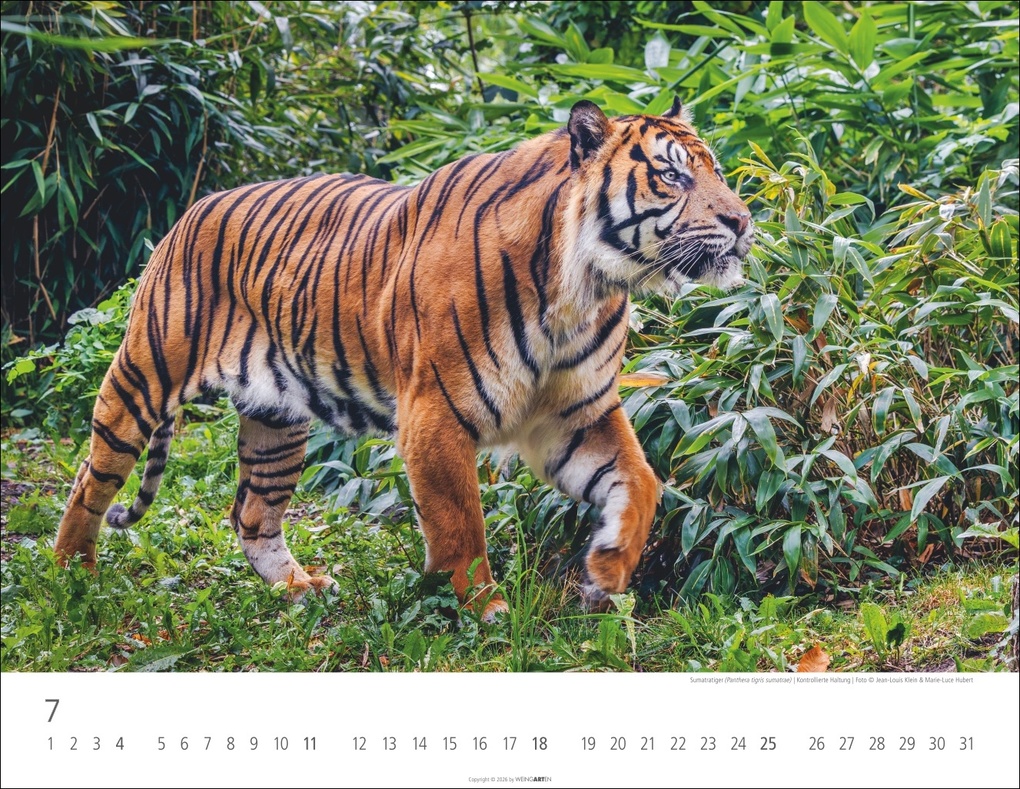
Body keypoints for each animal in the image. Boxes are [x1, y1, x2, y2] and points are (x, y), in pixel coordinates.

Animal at [54, 97, 754, 620]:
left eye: (715, 170)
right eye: (671, 175)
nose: (744, 221)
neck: (585, 286)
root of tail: (191, 210)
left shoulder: (575, 415)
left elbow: (642, 482)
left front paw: (606, 571)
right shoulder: (436, 413)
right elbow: (459, 522)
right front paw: (483, 607)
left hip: (276, 421)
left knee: (251, 514)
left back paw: (299, 590)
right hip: (143, 376)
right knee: (91, 480)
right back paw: (73, 577)